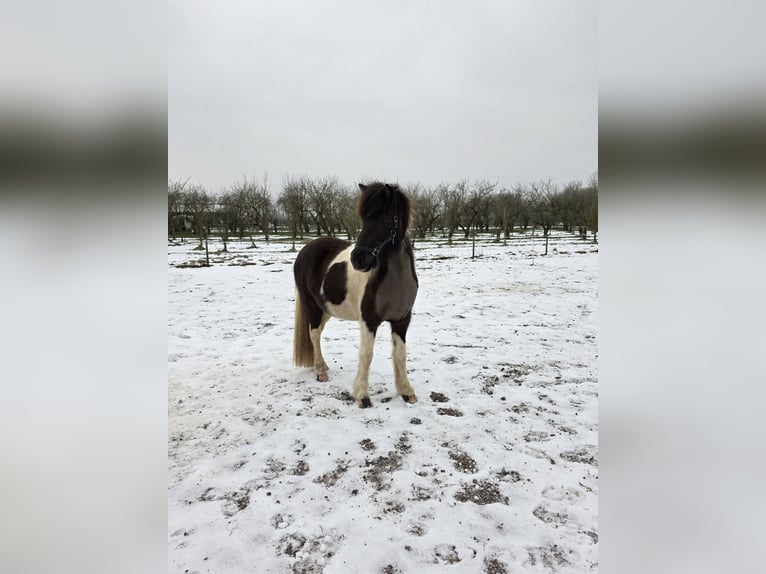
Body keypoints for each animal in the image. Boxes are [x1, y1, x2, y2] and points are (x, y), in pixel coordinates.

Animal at [292, 182, 419, 408]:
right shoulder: (368, 320)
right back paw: (320, 371)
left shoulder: (402, 320)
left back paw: (322, 366)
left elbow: (400, 355)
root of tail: (306, 249)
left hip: (326, 308)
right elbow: (366, 355)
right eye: (364, 218)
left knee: (317, 333)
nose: (357, 260)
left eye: (385, 217)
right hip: (311, 305)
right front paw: (362, 396)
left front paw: (406, 392)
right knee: (313, 333)